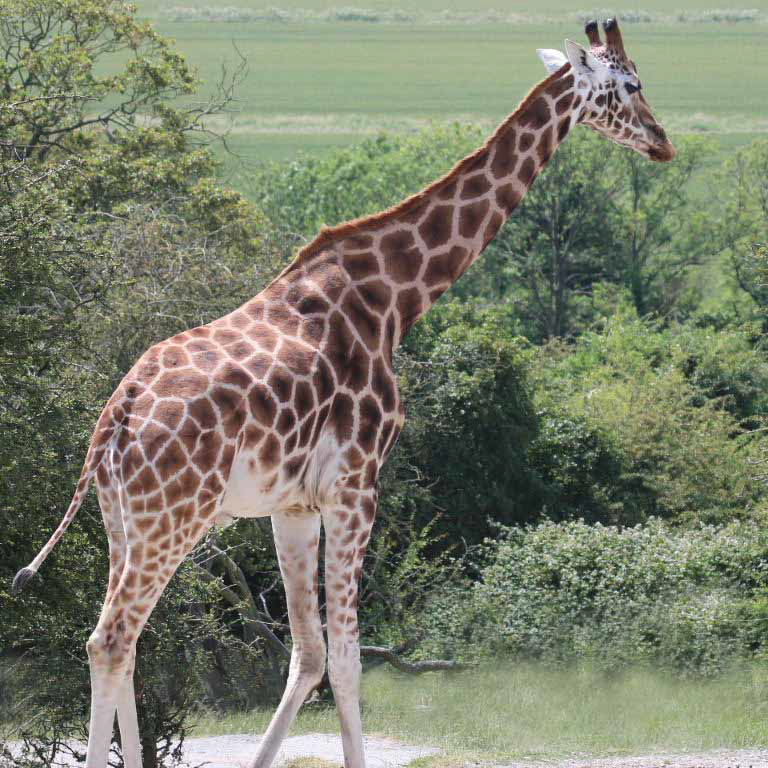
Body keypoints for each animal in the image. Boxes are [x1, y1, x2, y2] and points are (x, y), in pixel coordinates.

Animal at [13, 18, 675, 768]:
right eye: (631, 85)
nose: (663, 141)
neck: (395, 295)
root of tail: (117, 417)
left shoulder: (293, 504)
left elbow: (306, 654)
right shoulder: (357, 485)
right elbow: (349, 660)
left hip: (121, 519)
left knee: (129, 642)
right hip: (173, 516)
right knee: (111, 638)